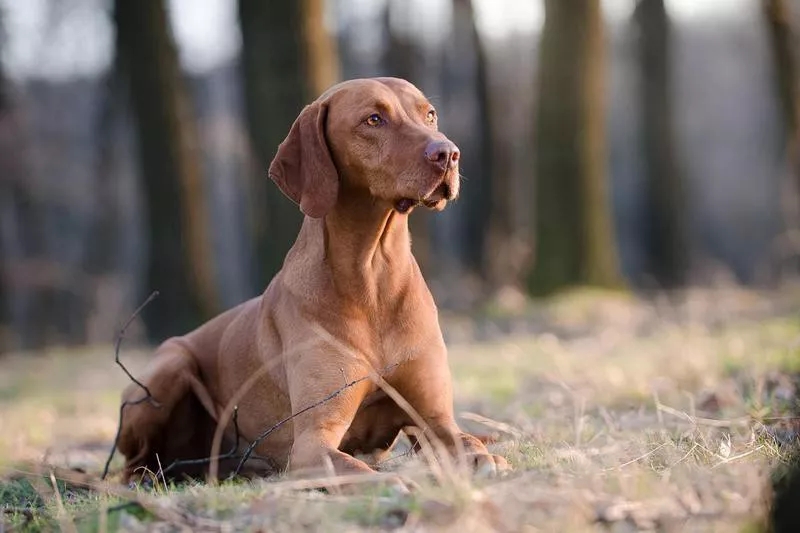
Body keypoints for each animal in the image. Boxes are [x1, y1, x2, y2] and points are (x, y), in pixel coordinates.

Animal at [116, 77, 510, 488]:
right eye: (373, 119)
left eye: (429, 114)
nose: (448, 153)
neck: (374, 277)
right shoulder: (311, 441)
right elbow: (359, 470)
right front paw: (390, 482)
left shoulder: (433, 420)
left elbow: (464, 441)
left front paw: (485, 457)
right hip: (170, 365)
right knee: (134, 463)